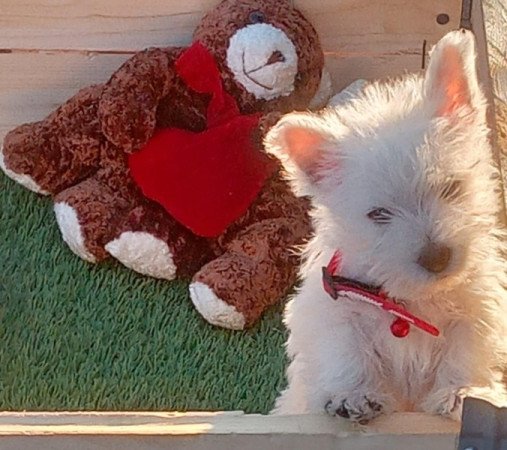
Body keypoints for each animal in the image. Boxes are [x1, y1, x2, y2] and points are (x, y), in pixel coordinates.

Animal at [266, 29, 507, 424]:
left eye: (450, 188)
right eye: (378, 214)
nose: (436, 257)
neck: (413, 301)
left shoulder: (479, 304)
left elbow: (468, 349)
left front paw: (462, 392)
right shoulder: (332, 310)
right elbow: (344, 351)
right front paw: (352, 395)